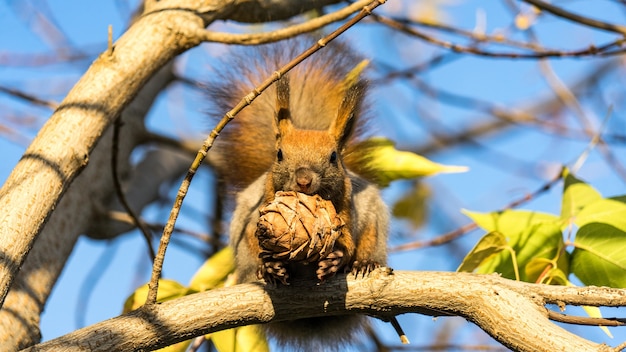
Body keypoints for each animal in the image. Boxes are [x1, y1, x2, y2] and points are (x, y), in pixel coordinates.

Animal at [207, 39, 388, 350]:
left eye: (333, 157)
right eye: (279, 154)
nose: (304, 179)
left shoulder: (345, 209)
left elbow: (347, 241)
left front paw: (337, 257)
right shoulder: (261, 210)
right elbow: (259, 239)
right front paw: (271, 267)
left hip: (375, 221)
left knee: (369, 241)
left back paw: (365, 264)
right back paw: (263, 271)